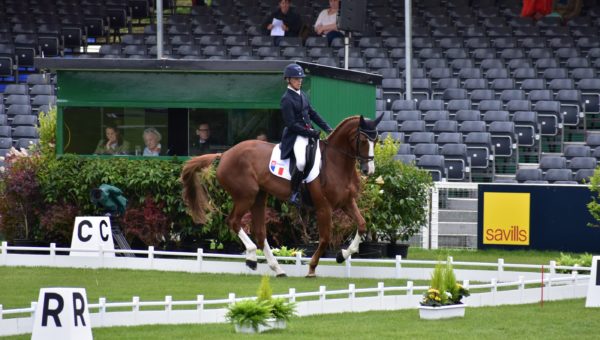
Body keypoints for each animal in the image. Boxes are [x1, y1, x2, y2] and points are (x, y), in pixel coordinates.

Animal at [180, 115, 382, 278]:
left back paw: (277, 269)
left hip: (259, 196)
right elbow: (325, 238)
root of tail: (225, 154)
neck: (335, 162)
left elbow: (362, 225)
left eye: (376, 140)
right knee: (234, 222)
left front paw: (342, 255)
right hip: (246, 196)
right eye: (363, 139)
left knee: (260, 233)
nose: (369, 170)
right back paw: (252, 258)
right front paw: (311, 268)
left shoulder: (347, 202)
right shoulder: (323, 207)